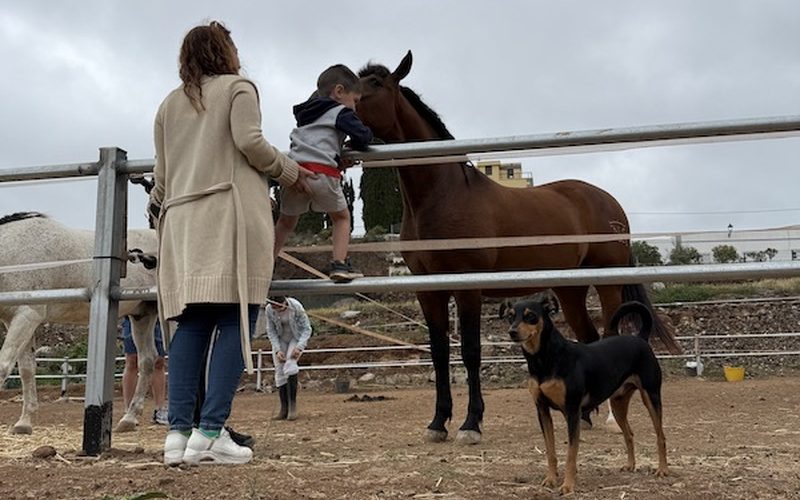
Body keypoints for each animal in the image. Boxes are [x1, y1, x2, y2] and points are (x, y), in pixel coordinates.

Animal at [0, 212, 159, 434]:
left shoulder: (27, 316)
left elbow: (4, 365)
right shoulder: (17, 320)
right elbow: (26, 369)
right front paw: (24, 423)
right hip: (142, 316)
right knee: (148, 361)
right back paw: (129, 418)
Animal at [356, 51, 681, 445]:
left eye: (375, 84)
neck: (442, 195)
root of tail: (609, 202)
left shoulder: (468, 288)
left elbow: (470, 352)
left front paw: (470, 423)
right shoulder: (428, 290)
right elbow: (438, 352)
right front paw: (438, 422)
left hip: (608, 281)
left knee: (609, 334)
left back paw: (609, 418)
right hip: (570, 290)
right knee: (587, 336)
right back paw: (585, 414)